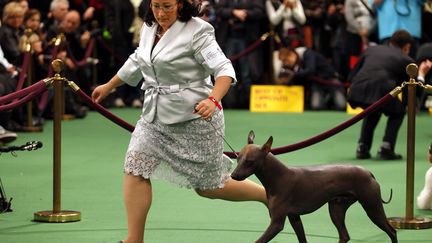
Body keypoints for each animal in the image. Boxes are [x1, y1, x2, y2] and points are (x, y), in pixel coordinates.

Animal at [231, 131, 396, 243]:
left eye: (249, 161)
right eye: (238, 158)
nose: (233, 176)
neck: (279, 176)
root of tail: (368, 172)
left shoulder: (276, 224)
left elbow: (258, 241)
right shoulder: (294, 218)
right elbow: (302, 239)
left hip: (372, 208)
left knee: (392, 231)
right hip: (336, 208)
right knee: (344, 235)